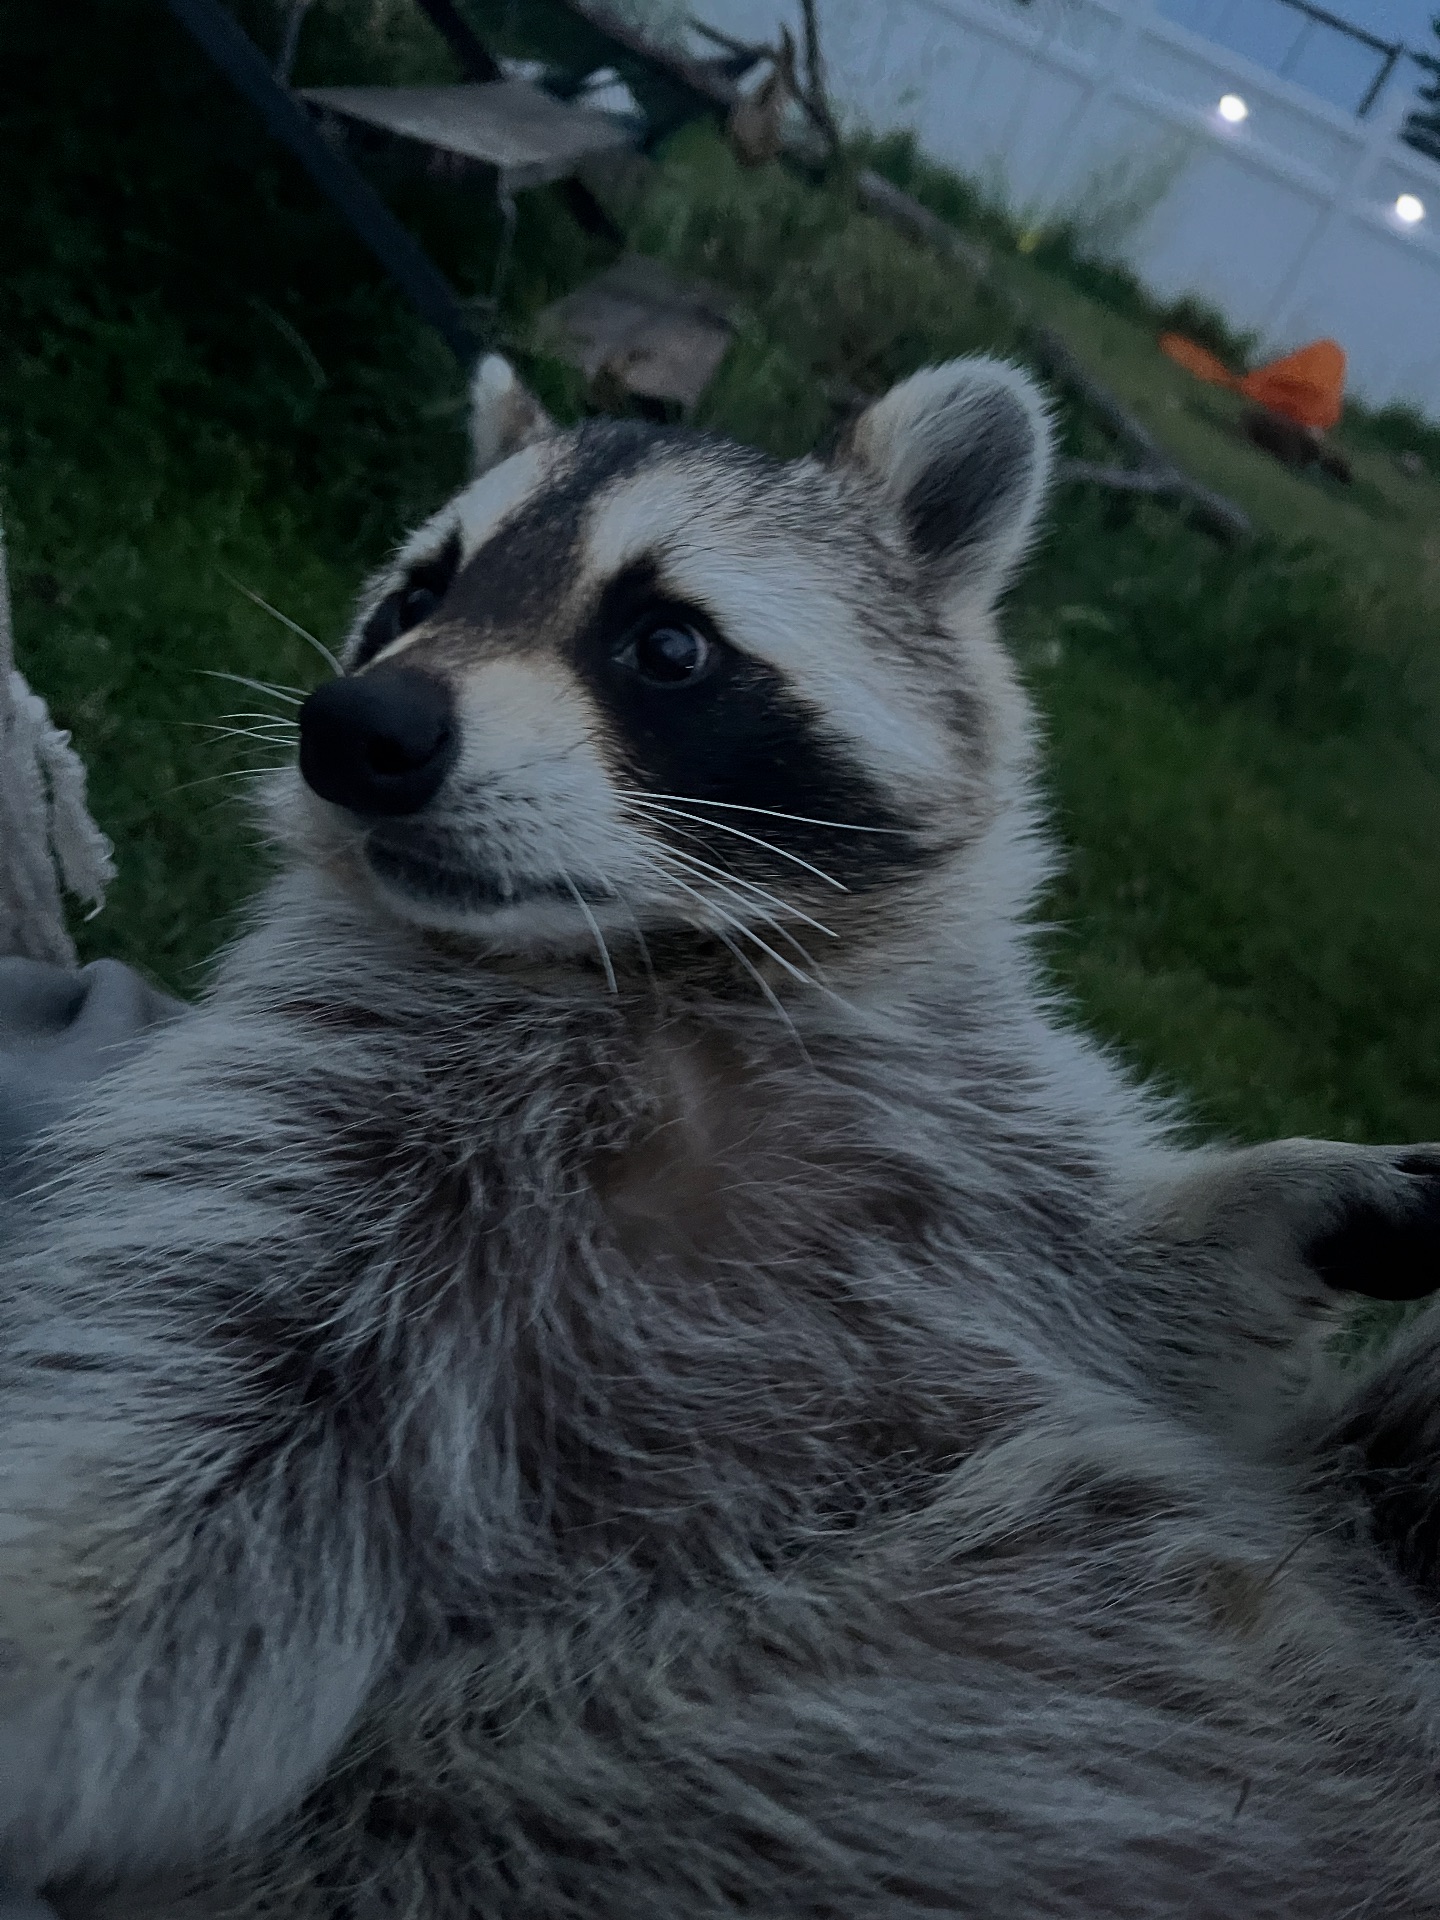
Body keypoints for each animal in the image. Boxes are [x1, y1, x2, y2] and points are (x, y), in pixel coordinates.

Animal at [3, 354, 1440, 1920]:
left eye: (668, 644)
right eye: (417, 596)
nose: (357, 731)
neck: (651, 972)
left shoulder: (966, 1136)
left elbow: (1149, 1310)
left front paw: (1284, 1202)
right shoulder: (329, 1141)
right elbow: (185, 1488)